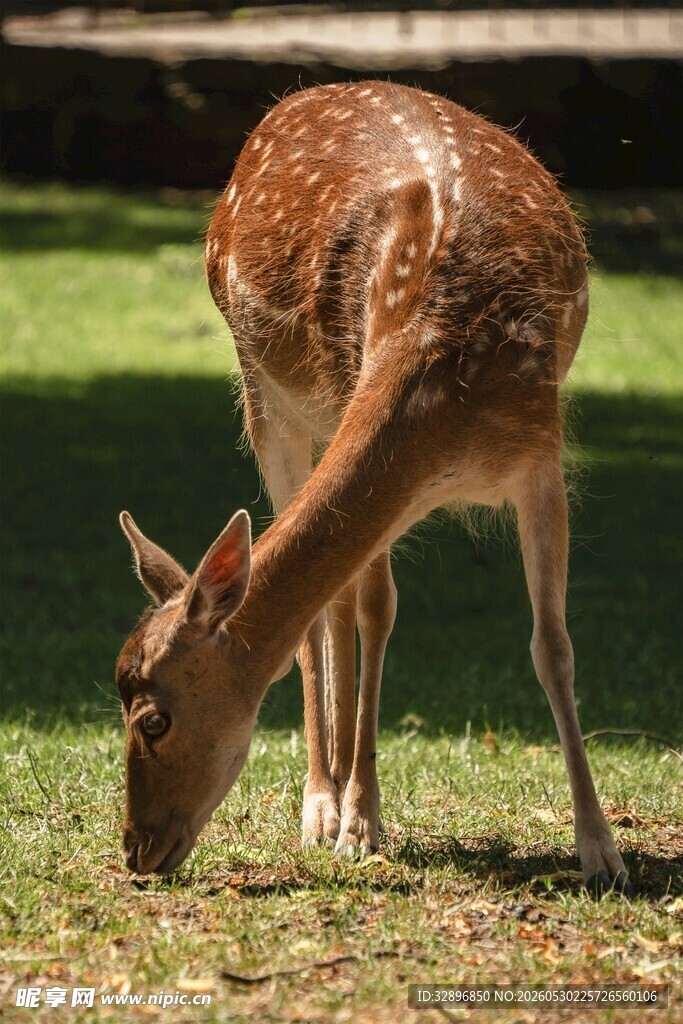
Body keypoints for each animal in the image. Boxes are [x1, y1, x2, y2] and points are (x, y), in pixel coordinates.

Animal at [115, 81, 631, 897]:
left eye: (153, 719)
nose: (135, 851)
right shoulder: (351, 387)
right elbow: (371, 606)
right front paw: (357, 823)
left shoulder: (540, 458)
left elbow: (551, 646)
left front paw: (600, 850)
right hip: (270, 397)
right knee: (325, 612)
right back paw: (322, 806)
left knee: (343, 606)